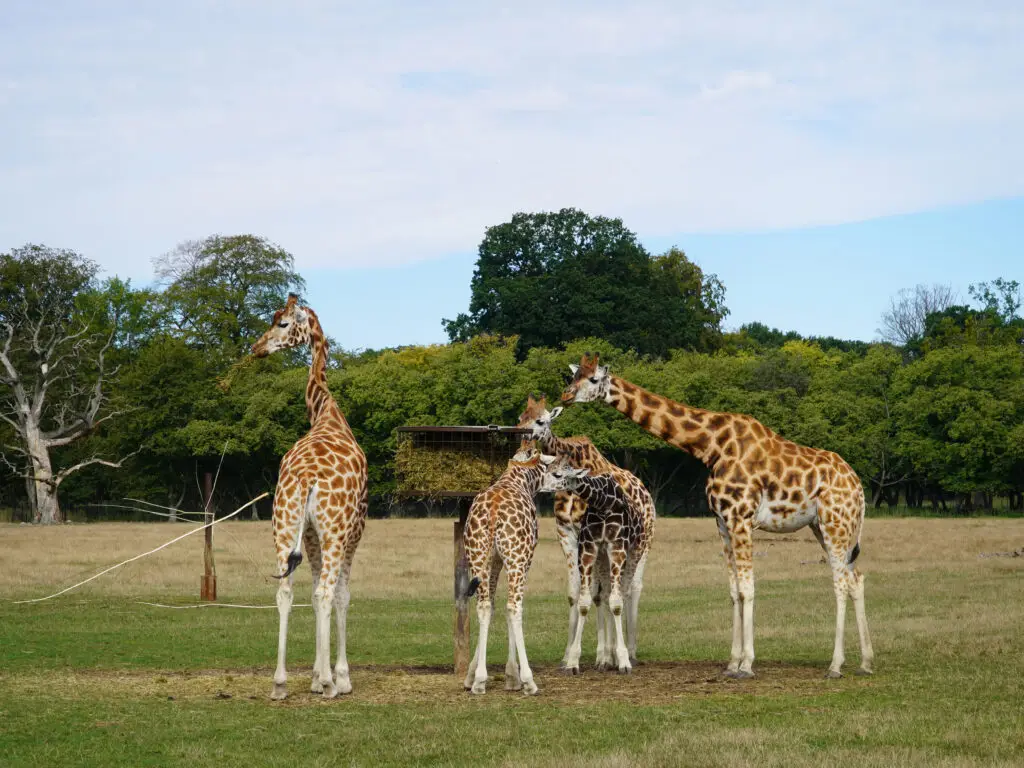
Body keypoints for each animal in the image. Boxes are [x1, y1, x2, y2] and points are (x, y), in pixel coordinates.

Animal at [251, 293, 368, 700]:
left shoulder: (312, 537)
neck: (325, 412)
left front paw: (317, 676)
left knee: (285, 591)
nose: (256, 348)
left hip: (283, 526)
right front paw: (338, 677)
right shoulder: (352, 532)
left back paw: (279, 682)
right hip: (333, 532)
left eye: (282, 323)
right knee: (324, 593)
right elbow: (341, 596)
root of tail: (306, 478)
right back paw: (332, 685)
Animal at [461, 439, 553, 695]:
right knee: (514, 607)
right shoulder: (523, 560)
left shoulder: (494, 561)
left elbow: (491, 606)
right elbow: (509, 608)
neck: (518, 479)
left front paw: (472, 675)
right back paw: (530, 682)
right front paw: (513, 677)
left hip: (477, 557)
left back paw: (479, 681)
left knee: (483, 605)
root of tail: (493, 512)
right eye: (550, 466)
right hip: (517, 558)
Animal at [538, 456, 649, 674]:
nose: (540, 486)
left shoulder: (617, 547)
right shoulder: (589, 548)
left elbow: (616, 603)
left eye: (558, 474)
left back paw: (622, 655)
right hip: (603, 559)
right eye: (547, 469)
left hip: (637, 551)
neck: (603, 502)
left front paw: (623, 661)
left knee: (626, 592)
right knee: (604, 595)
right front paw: (573, 662)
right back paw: (606, 658)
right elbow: (585, 602)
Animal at [561, 353, 874, 679]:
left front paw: (747, 665)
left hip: (835, 524)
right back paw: (865, 662)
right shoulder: (723, 523)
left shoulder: (741, 518)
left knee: (841, 583)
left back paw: (835, 665)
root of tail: (858, 488)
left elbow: (748, 589)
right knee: (856, 579)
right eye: (572, 376)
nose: (566, 396)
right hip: (824, 526)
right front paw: (732, 663)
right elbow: (735, 591)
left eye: (593, 379)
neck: (710, 446)